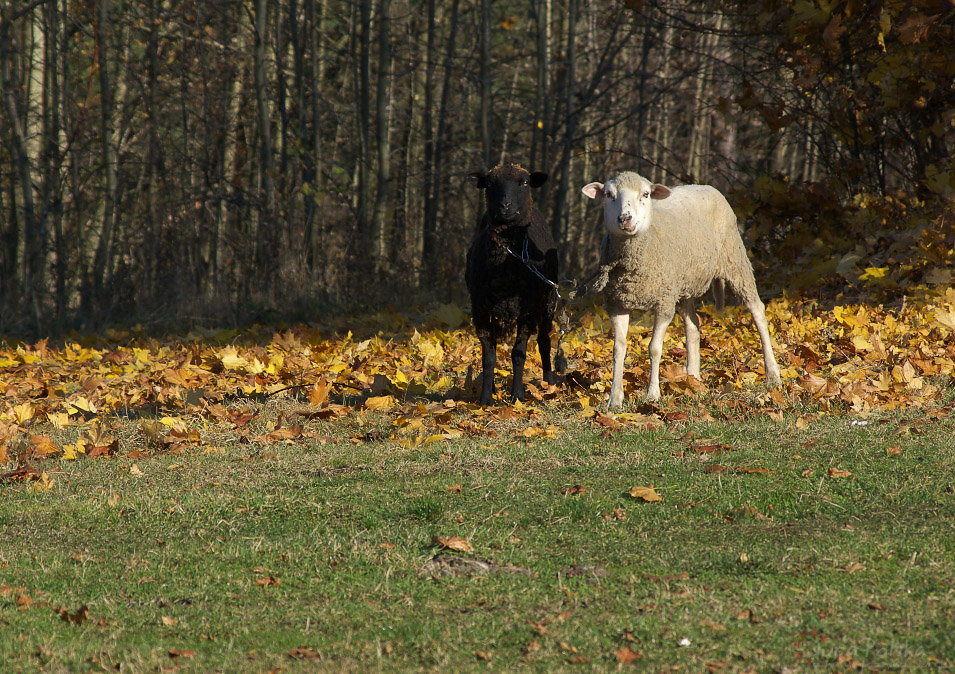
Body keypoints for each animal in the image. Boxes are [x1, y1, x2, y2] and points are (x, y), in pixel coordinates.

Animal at [464, 164, 560, 404]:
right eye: (489, 183)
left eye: (524, 182)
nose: (505, 206)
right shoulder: (480, 309)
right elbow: (489, 356)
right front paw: (486, 398)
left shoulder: (529, 310)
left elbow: (519, 354)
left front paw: (517, 396)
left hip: (548, 301)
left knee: (544, 339)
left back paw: (549, 382)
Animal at [580, 171, 780, 406]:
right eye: (609, 194)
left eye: (646, 194)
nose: (625, 219)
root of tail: (704, 186)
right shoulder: (616, 303)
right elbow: (618, 349)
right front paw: (614, 399)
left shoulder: (664, 301)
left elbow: (654, 348)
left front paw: (652, 395)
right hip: (684, 284)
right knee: (693, 325)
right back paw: (693, 378)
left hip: (735, 260)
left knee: (757, 311)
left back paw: (773, 374)